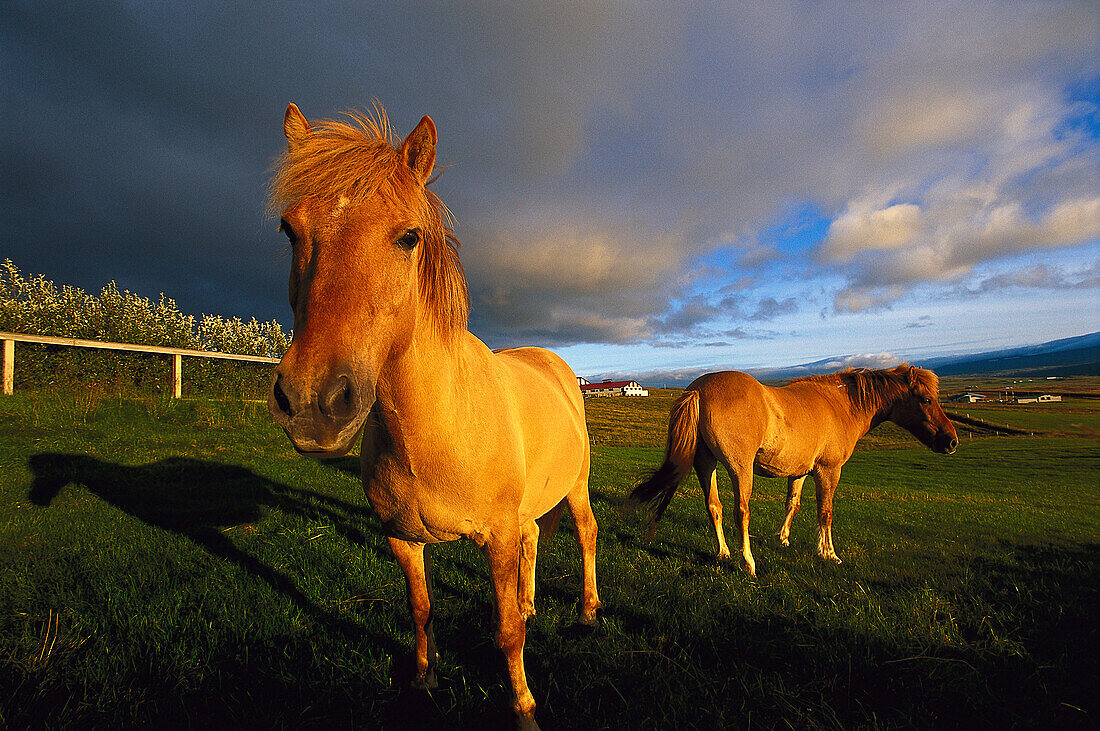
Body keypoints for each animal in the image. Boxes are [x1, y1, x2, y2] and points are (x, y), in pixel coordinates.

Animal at [267, 101, 602, 725]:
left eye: (408, 237)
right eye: (288, 229)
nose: (311, 403)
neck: (434, 427)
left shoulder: (496, 537)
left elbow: (506, 632)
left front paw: (523, 706)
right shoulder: (403, 539)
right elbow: (420, 609)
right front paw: (423, 678)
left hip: (577, 485)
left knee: (587, 535)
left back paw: (589, 611)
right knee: (534, 538)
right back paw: (532, 602)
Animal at [633, 364, 959, 576]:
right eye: (926, 399)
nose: (952, 441)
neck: (839, 405)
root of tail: (699, 389)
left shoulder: (800, 471)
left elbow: (794, 503)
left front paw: (783, 538)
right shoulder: (829, 471)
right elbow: (825, 512)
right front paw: (828, 553)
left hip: (705, 464)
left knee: (714, 506)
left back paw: (723, 553)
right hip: (740, 469)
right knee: (741, 511)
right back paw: (748, 563)